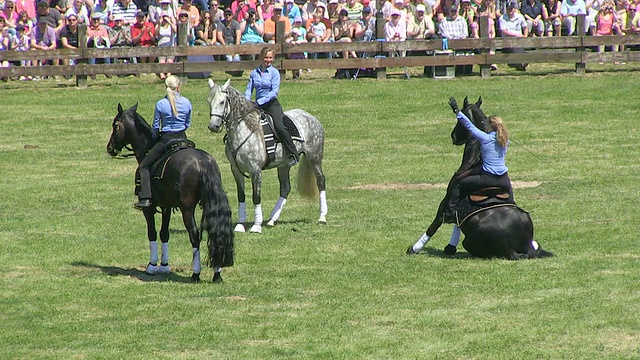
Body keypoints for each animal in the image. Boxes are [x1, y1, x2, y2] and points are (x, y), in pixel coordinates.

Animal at [107, 102, 235, 282]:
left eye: (115, 126)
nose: (110, 148)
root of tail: (202, 162)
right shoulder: (166, 206)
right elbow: (164, 233)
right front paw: (164, 266)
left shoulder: (148, 208)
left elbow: (152, 233)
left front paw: (152, 266)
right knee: (214, 231)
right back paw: (217, 273)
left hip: (187, 209)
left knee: (195, 235)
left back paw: (196, 273)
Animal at [206, 79, 328, 233]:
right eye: (208, 101)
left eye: (222, 102)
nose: (213, 126)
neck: (245, 131)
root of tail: (311, 117)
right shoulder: (235, 170)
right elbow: (241, 196)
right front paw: (240, 224)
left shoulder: (255, 170)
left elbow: (256, 197)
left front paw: (256, 226)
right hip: (283, 166)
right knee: (285, 188)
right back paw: (271, 220)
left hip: (314, 158)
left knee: (321, 181)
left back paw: (322, 217)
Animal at [410, 96, 552, 258]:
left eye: (459, 121)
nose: (453, 136)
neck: (475, 162)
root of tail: (510, 247)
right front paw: (449, 248)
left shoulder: (444, 205)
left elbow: (433, 226)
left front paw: (414, 249)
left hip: (468, 242)